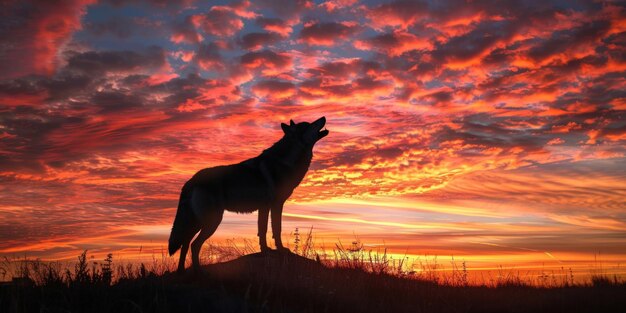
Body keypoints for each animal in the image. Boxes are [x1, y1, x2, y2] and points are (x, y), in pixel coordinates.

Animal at [168, 116, 330, 270]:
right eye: (308, 124)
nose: (323, 117)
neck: (286, 161)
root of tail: (191, 180)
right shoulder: (275, 205)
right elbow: (276, 229)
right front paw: (280, 249)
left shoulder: (264, 207)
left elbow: (262, 230)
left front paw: (265, 250)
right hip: (211, 220)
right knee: (194, 244)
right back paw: (198, 270)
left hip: (200, 221)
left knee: (185, 243)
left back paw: (181, 270)